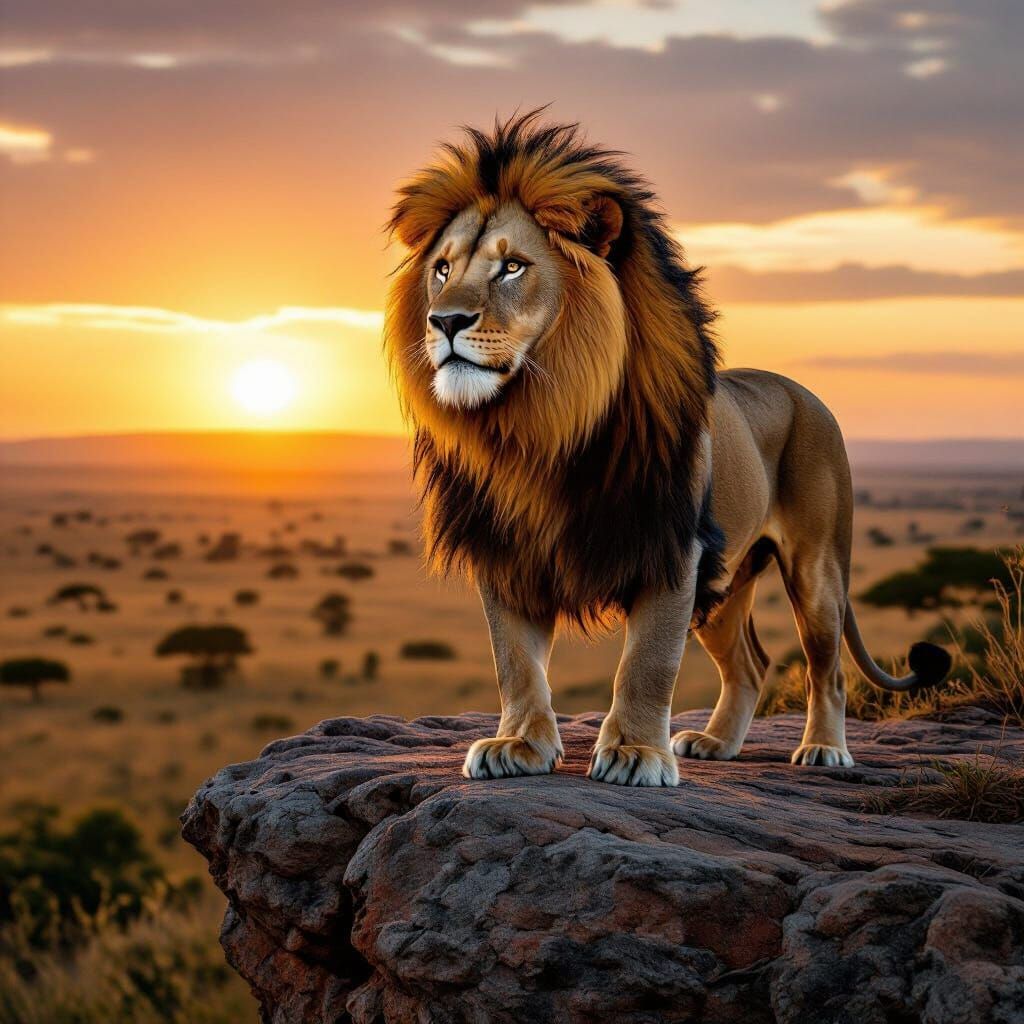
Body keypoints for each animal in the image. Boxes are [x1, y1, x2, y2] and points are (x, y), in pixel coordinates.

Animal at [384, 111, 951, 787]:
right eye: (442, 269)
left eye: (513, 267)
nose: (443, 321)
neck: (539, 426)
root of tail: (803, 391)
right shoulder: (506, 550)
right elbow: (514, 662)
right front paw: (517, 744)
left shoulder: (672, 548)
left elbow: (648, 663)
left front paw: (635, 753)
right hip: (726, 584)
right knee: (751, 664)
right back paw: (715, 742)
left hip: (815, 569)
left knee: (827, 667)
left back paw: (824, 750)